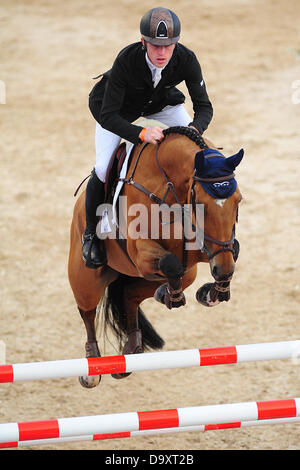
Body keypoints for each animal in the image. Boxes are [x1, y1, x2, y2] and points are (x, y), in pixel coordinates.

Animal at [67, 125, 243, 386]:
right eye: (201, 203)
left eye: (238, 199)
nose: (221, 270)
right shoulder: (141, 252)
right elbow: (171, 263)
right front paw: (176, 296)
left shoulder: (207, 251)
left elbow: (232, 251)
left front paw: (210, 292)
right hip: (87, 280)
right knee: (87, 312)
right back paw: (92, 369)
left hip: (162, 275)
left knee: (130, 295)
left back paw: (132, 349)